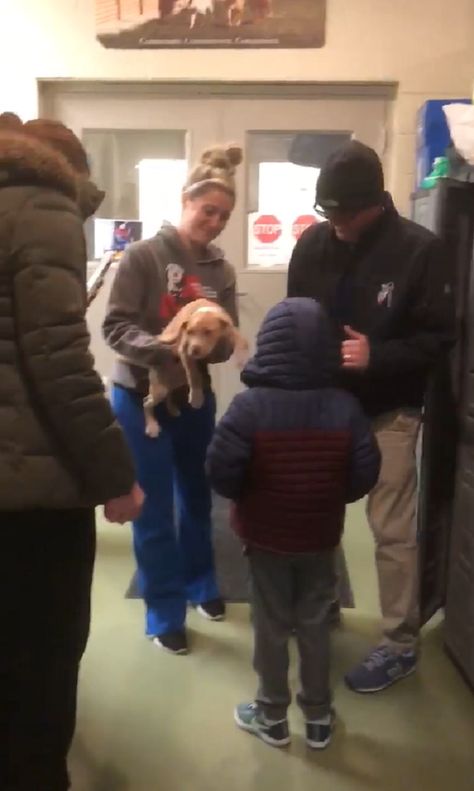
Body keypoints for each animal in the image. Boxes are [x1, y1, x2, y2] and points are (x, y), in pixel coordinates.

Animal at [144, 298, 248, 440]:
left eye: (208, 332)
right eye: (189, 332)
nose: (194, 350)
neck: (204, 309)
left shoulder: (229, 329)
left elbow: (240, 339)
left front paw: (242, 359)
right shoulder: (184, 351)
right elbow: (194, 375)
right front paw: (196, 398)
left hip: (176, 382)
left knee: (169, 394)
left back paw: (172, 409)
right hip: (159, 388)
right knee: (146, 402)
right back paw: (152, 426)